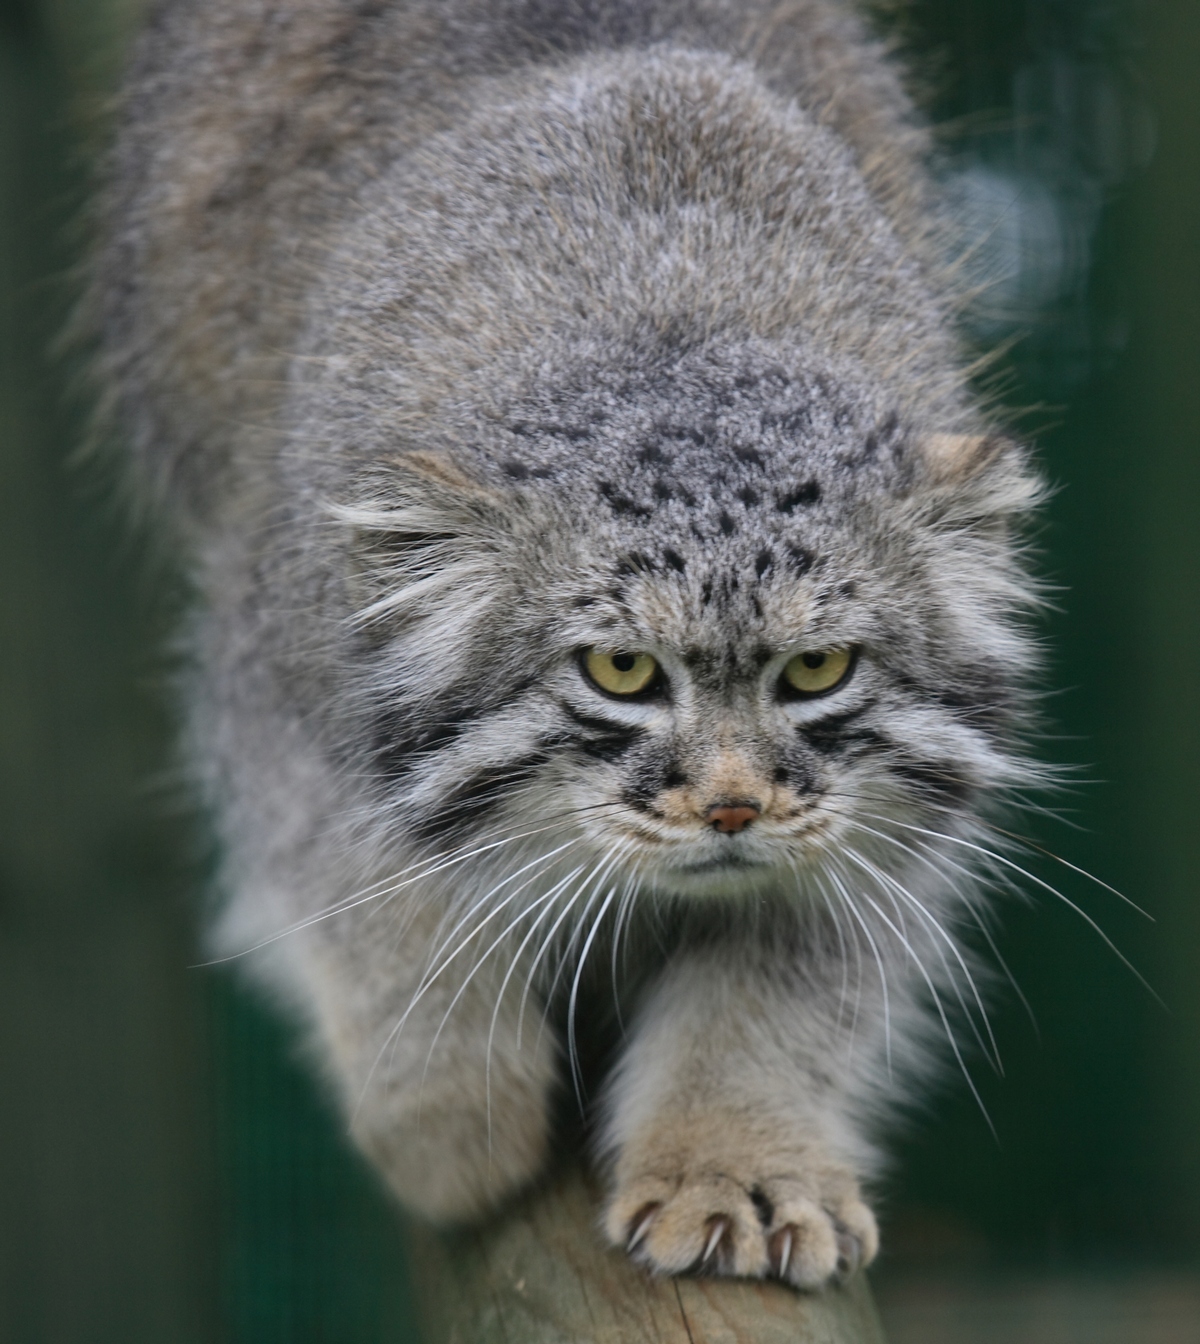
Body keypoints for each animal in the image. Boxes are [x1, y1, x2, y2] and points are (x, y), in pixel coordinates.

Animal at [96, 0, 1037, 1284]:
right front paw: (448, 1116)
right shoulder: (273, 676)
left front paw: (732, 1162)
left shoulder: (870, 829)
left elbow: (787, 987)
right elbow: (367, 893)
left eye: (817, 669)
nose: (732, 810)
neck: (669, 320)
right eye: (622, 670)